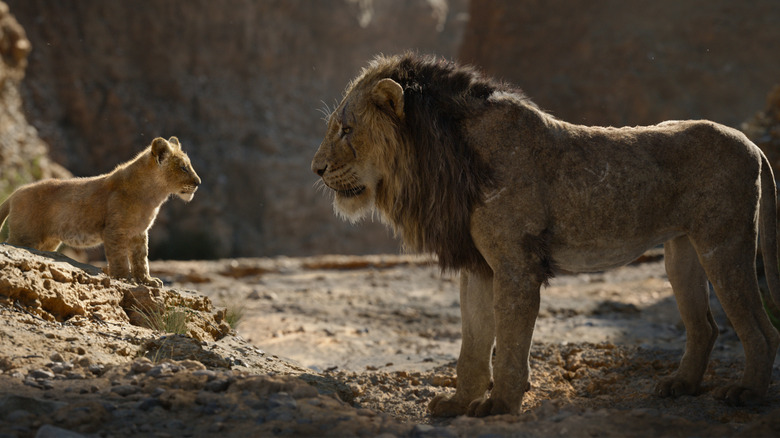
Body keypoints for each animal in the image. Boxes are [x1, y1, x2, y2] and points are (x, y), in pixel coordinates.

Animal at [0, 136, 201, 287]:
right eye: (183, 167)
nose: (198, 183)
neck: (154, 195)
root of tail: (15, 192)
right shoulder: (114, 231)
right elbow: (119, 257)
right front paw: (123, 278)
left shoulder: (139, 233)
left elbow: (141, 259)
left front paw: (147, 281)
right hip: (25, 236)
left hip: (47, 242)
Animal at [311, 53, 780, 417]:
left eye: (346, 130)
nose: (316, 169)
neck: (443, 157)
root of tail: (752, 143)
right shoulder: (479, 266)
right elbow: (472, 344)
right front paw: (458, 403)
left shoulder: (516, 265)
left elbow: (510, 342)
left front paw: (499, 405)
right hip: (681, 252)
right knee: (706, 326)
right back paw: (680, 386)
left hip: (723, 243)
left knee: (760, 329)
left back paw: (747, 393)